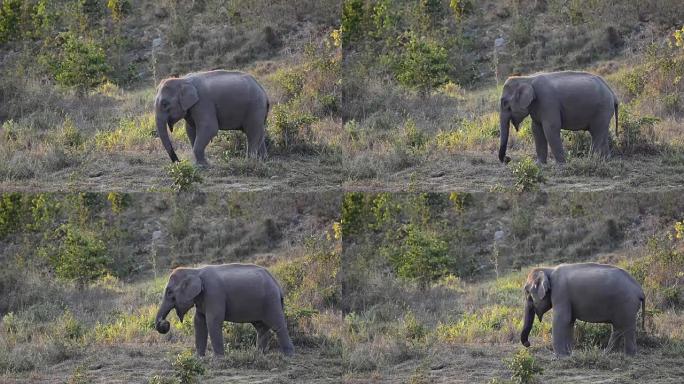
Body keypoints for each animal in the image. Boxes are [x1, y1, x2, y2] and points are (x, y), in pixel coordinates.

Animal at [155, 264, 294, 356]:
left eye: (169, 292)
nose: (165, 323)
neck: (195, 271)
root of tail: (277, 285)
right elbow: (199, 321)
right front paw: (199, 358)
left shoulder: (214, 293)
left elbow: (213, 321)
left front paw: (218, 359)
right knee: (261, 327)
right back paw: (259, 354)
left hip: (271, 301)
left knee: (278, 325)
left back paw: (288, 355)